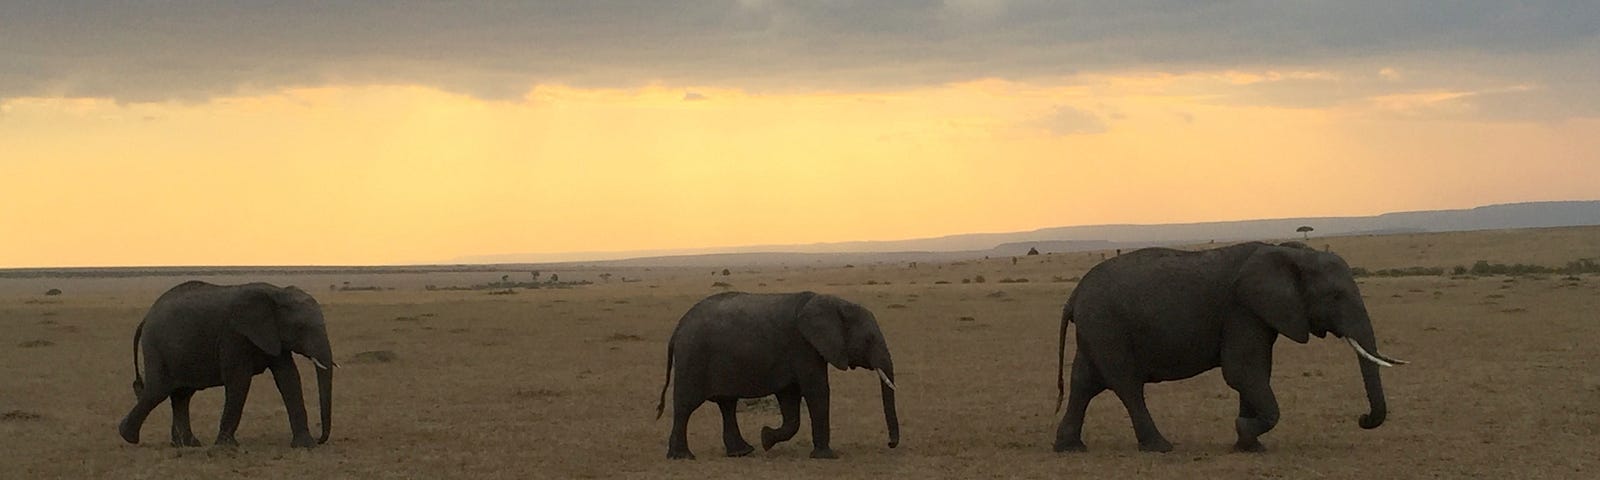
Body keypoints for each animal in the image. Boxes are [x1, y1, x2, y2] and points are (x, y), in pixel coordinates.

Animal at [119, 280, 337, 448]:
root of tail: (146, 316)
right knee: (158, 391)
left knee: (182, 395)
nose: (321, 439)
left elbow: (288, 378)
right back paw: (128, 437)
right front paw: (226, 446)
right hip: (158, 347)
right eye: (301, 327)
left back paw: (187, 444)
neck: (276, 292)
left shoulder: (272, 335)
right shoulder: (234, 335)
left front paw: (305, 445)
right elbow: (239, 380)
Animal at [652, 291, 902, 460]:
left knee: (727, 405)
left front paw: (766, 439)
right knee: (686, 406)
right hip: (693, 357)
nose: (890, 444)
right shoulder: (803, 346)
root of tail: (678, 328)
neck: (832, 302)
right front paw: (827, 456)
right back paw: (682, 457)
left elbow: (790, 400)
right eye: (868, 340)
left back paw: (742, 452)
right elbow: (817, 391)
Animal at [1049, 243, 1414, 454]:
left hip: (1097, 329)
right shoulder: (1242, 308)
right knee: (1126, 385)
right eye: (1336, 296)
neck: (1292, 253)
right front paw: (1244, 431)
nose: (1362, 418)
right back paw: (1160, 447)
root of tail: (1074, 296)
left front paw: (1249, 446)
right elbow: (1242, 372)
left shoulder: (1258, 313)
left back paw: (1070, 448)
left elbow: (1255, 373)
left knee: (1085, 382)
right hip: (1108, 326)